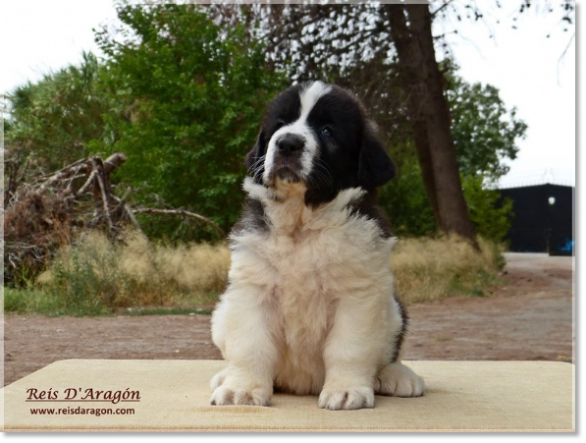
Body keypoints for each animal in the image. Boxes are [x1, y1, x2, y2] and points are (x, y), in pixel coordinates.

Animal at [210, 81, 424, 412]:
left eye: (327, 131)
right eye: (280, 124)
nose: (287, 143)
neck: (302, 224)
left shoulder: (357, 293)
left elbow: (349, 347)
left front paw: (346, 390)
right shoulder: (253, 289)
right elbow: (250, 344)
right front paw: (241, 389)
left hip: (393, 309)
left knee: (387, 354)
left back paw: (397, 376)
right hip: (221, 312)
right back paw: (225, 376)